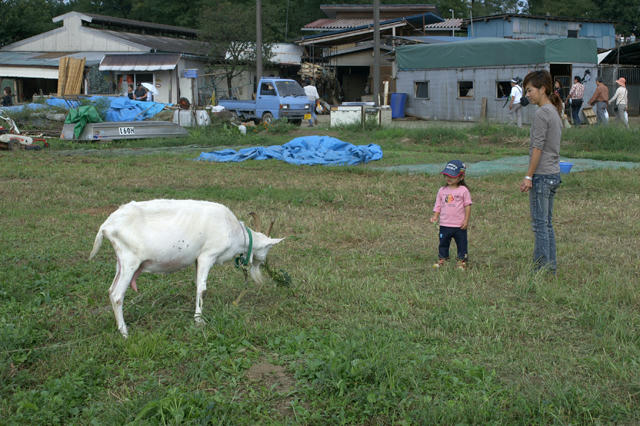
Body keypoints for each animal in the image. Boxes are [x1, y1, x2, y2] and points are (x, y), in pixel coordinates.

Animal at [89, 199, 284, 336]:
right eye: (267, 250)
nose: (263, 267)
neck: (235, 231)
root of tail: (106, 226)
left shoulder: (197, 259)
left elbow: (197, 285)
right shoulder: (207, 255)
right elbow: (202, 288)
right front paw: (199, 321)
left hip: (120, 262)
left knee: (111, 290)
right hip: (130, 260)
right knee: (117, 295)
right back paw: (124, 332)